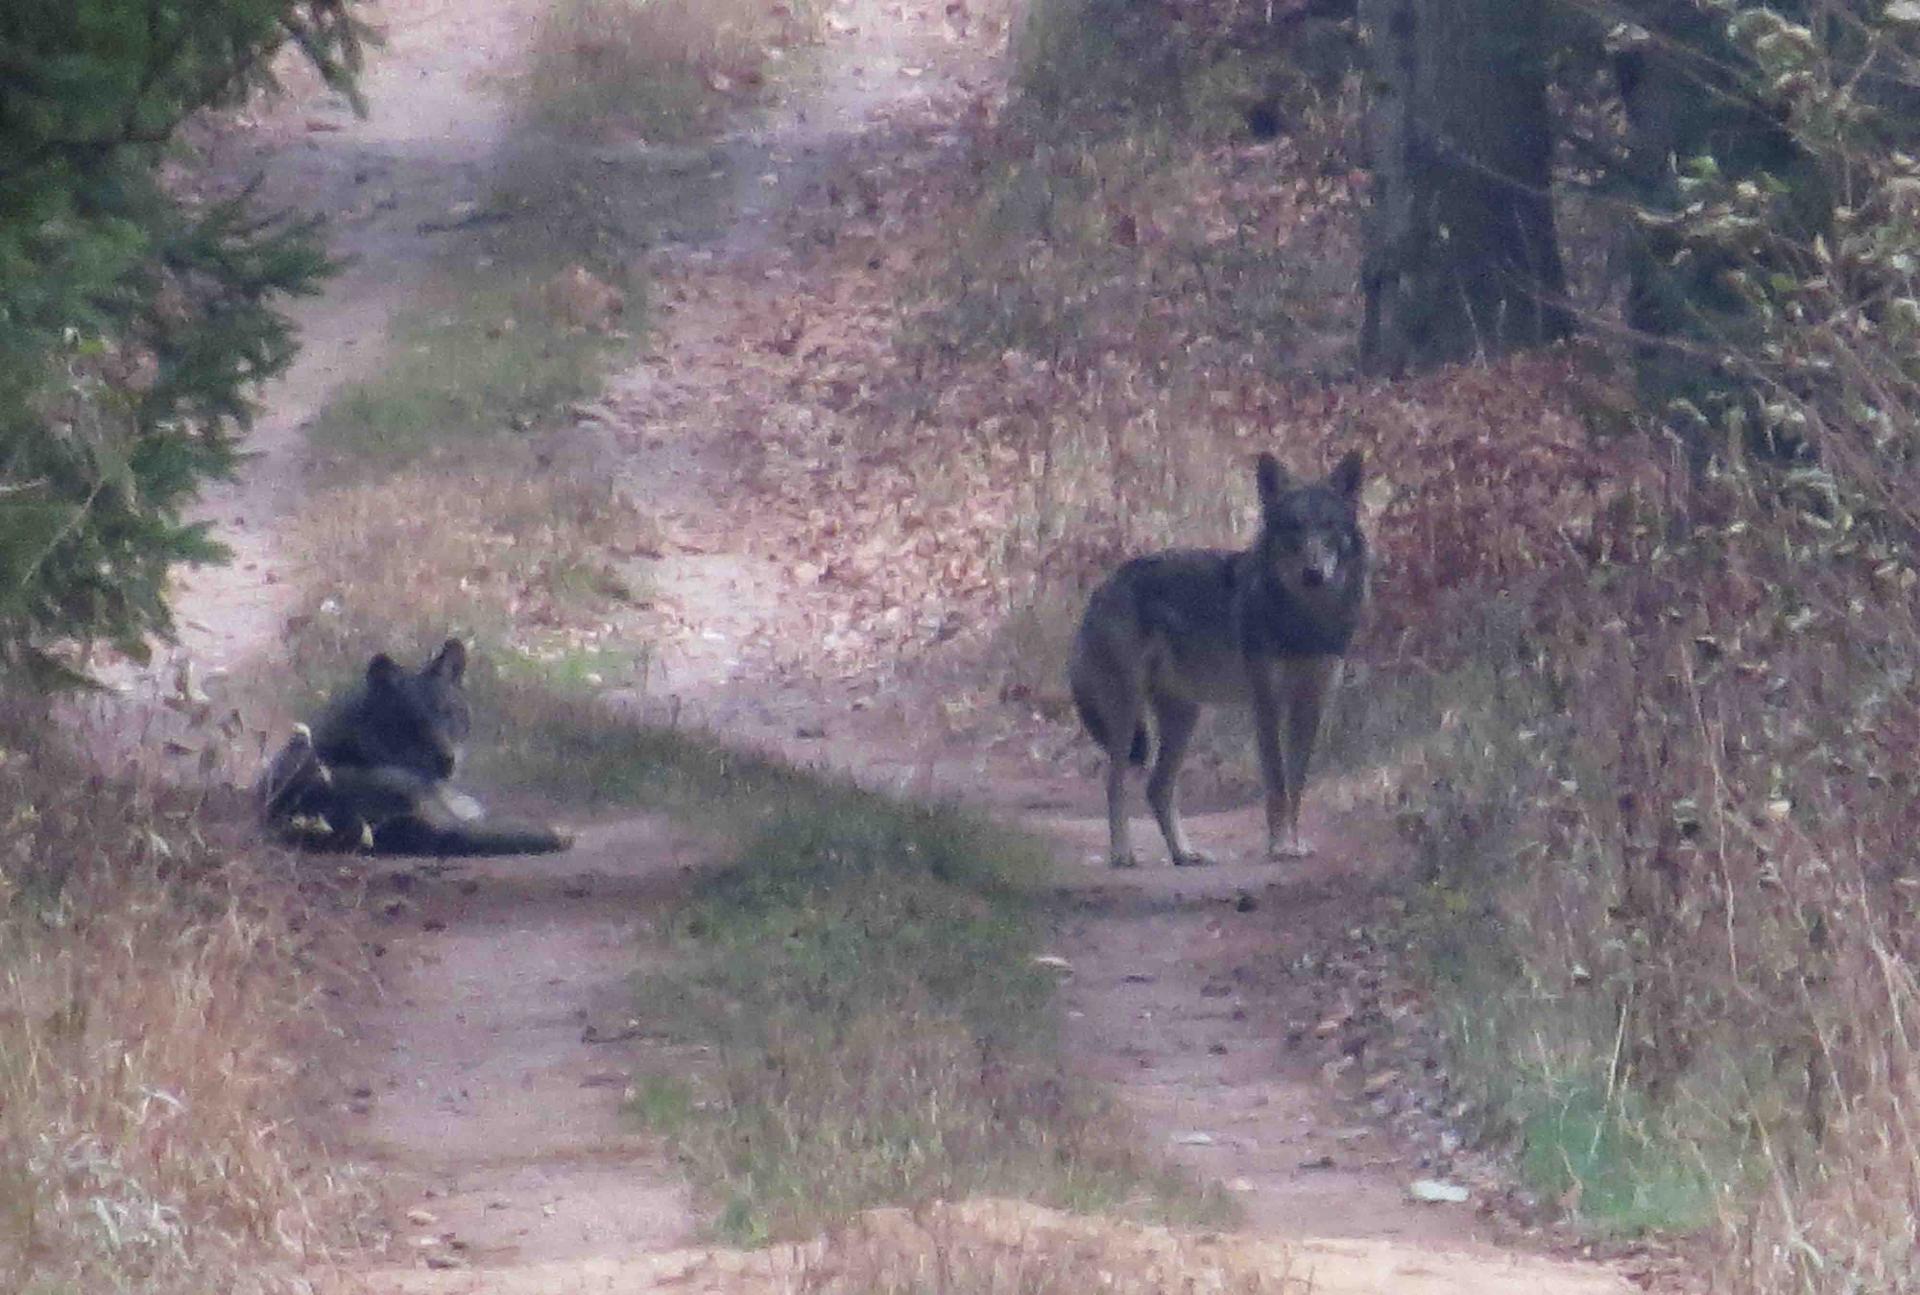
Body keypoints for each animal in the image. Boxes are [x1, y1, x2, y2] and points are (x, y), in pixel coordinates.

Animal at [1067, 449, 1367, 860]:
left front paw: (1293, 842)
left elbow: (1296, 786)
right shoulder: (1266, 705)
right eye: (1294, 528)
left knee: (1157, 787)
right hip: (1128, 715)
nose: (1313, 573)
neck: (1305, 619)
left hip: (1184, 716)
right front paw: (1280, 845)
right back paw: (1123, 854)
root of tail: (1101, 588)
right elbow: (1277, 785)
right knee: (1115, 784)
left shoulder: (1311, 705)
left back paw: (1183, 854)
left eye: (1329, 527)